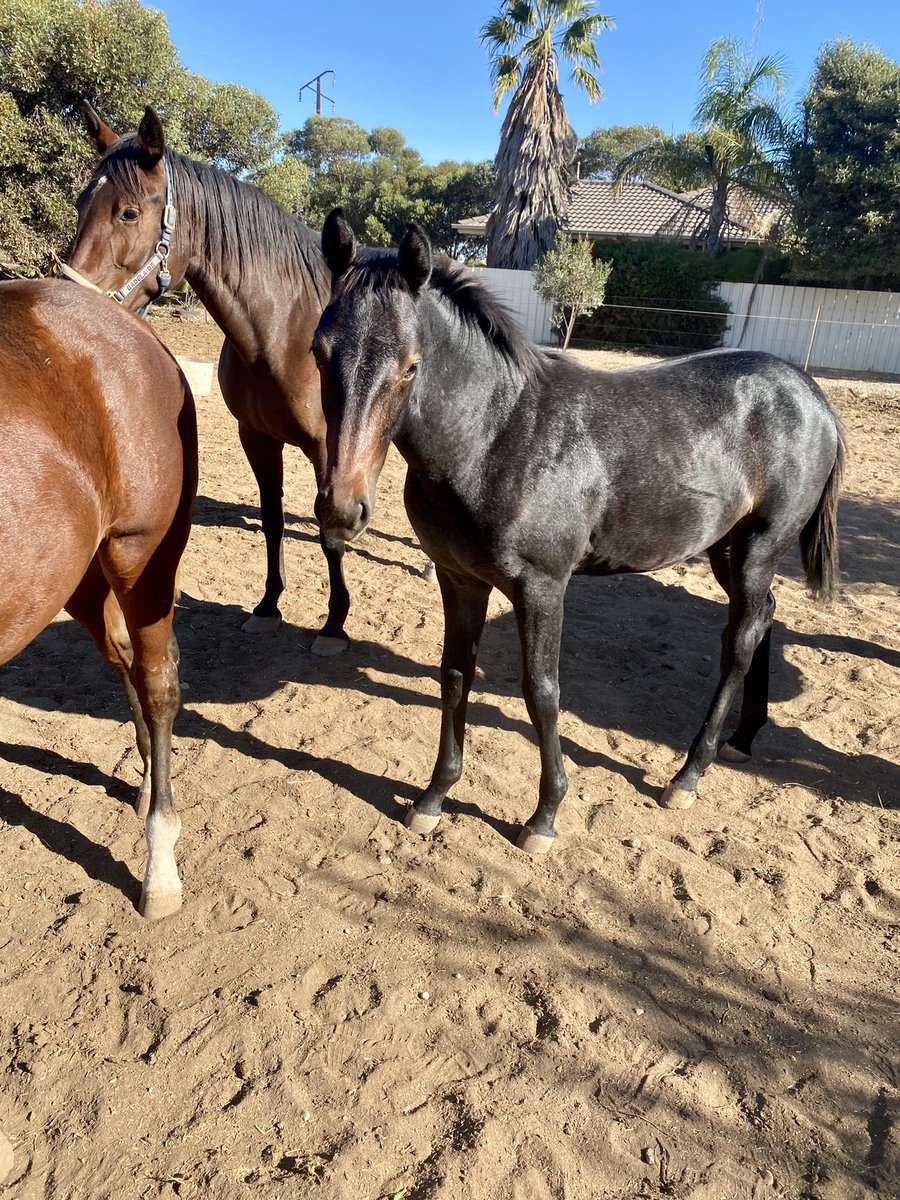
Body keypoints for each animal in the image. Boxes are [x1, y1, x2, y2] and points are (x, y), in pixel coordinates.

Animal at [0, 279, 197, 916]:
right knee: (126, 659)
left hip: (140, 556)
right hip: (74, 576)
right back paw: (147, 783)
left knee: (158, 681)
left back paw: (159, 868)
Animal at [63, 103, 351, 655]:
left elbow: (329, 531)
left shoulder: (328, 448)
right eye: (81, 203)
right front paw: (268, 606)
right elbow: (273, 517)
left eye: (128, 212)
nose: (73, 303)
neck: (286, 330)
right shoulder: (257, 438)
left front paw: (333, 626)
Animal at [313, 210, 845, 854]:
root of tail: (810, 393)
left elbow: (542, 693)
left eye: (411, 366)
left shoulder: (543, 587)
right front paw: (433, 799)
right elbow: (455, 677)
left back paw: (688, 776)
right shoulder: (459, 578)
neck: (496, 437)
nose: (342, 508)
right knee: (764, 617)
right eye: (318, 352)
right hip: (727, 547)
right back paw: (741, 740)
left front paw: (543, 818)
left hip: (759, 547)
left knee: (739, 640)